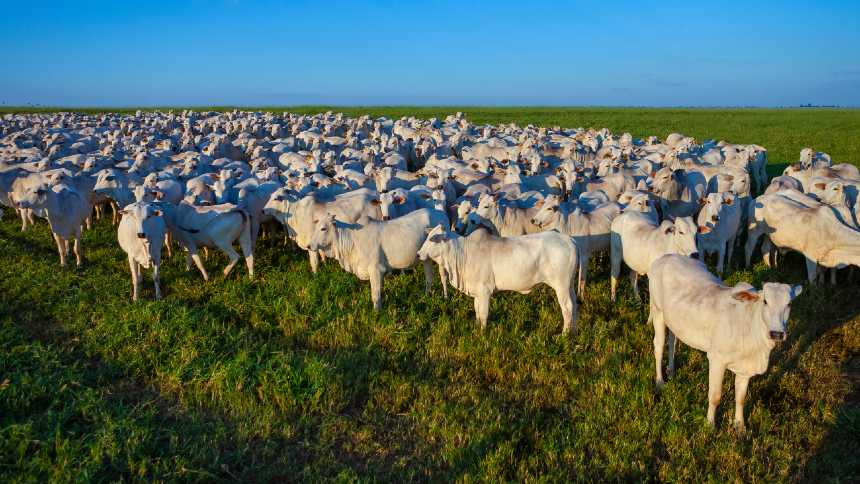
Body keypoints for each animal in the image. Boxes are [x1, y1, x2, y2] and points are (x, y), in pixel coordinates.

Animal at [414, 226, 576, 332]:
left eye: (432, 239)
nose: (418, 254)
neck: (462, 253)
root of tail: (568, 239)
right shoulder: (477, 292)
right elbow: (477, 311)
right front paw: (477, 329)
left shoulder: (484, 291)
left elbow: (483, 314)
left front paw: (483, 334)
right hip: (570, 286)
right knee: (575, 306)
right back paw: (573, 331)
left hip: (561, 286)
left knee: (567, 308)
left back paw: (564, 335)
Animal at [648, 253, 804, 432]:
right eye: (765, 301)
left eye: (789, 304)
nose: (777, 333)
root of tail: (666, 256)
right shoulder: (716, 360)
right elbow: (715, 396)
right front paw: (710, 425)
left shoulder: (745, 368)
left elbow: (741, 397)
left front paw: (740, 426)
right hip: (657, 311)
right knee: (658, 346)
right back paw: (660, 382)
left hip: (674, 320)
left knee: (672, 341)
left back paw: (671, 370)